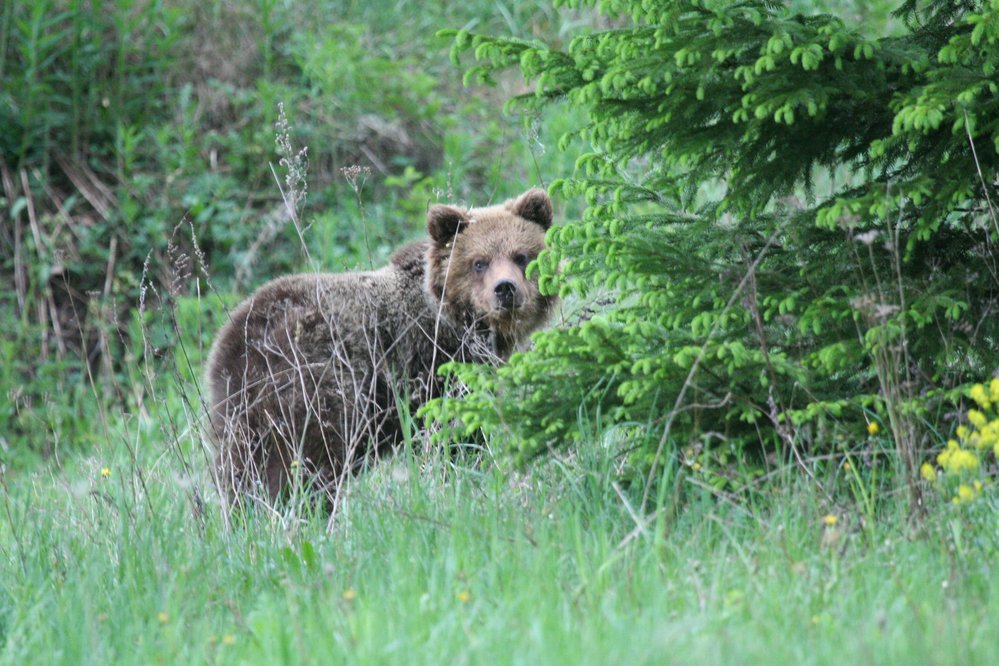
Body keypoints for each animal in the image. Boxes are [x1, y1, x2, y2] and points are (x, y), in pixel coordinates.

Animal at [203, 187, 556, 498]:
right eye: (479, 262)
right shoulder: (434, 365)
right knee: (308, 460)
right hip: (315, 385)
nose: (505, 289)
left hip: (242, 412)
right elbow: (456, 433)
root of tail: (232, 339)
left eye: (521, 256)